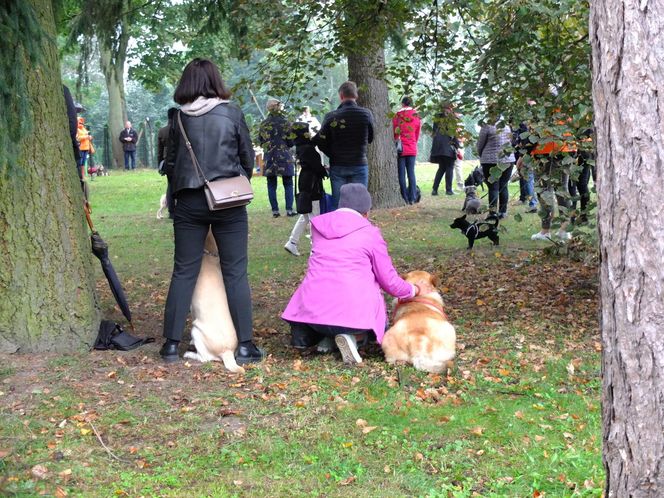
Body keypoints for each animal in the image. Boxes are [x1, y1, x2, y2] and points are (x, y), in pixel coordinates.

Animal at [182, 231, 244, 374]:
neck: (208, 255)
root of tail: (227, 352)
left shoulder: (192, 307)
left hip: (196, 329)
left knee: (205, 358)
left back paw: (189, 354)